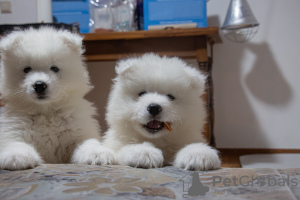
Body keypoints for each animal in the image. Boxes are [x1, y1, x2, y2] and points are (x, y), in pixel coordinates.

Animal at [0, 27, 115, 170]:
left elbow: (88, 143)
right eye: (26, 69)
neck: (46, 112)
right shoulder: (13, 131)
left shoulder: (79, 132)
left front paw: (97, 154)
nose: (39, 85)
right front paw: (17, 156)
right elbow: (15, 143)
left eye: (54, 68)